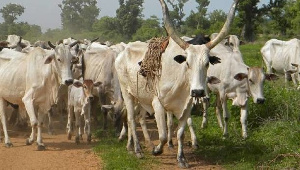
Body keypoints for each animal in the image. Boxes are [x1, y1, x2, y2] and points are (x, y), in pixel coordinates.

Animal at [115, 0, 239, 167]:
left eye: (207, 63)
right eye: (187, 63)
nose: (198, 92)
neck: (181, 82)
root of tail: (122, 52)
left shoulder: (186, 106)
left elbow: (180, 133)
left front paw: (181, 158)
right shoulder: (157, 104)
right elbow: (162, 134)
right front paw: (158, 150)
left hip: (141, 97)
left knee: (138, 118)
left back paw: (134, 145)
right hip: (127, 93)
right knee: (130, 119)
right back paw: (138, 150)